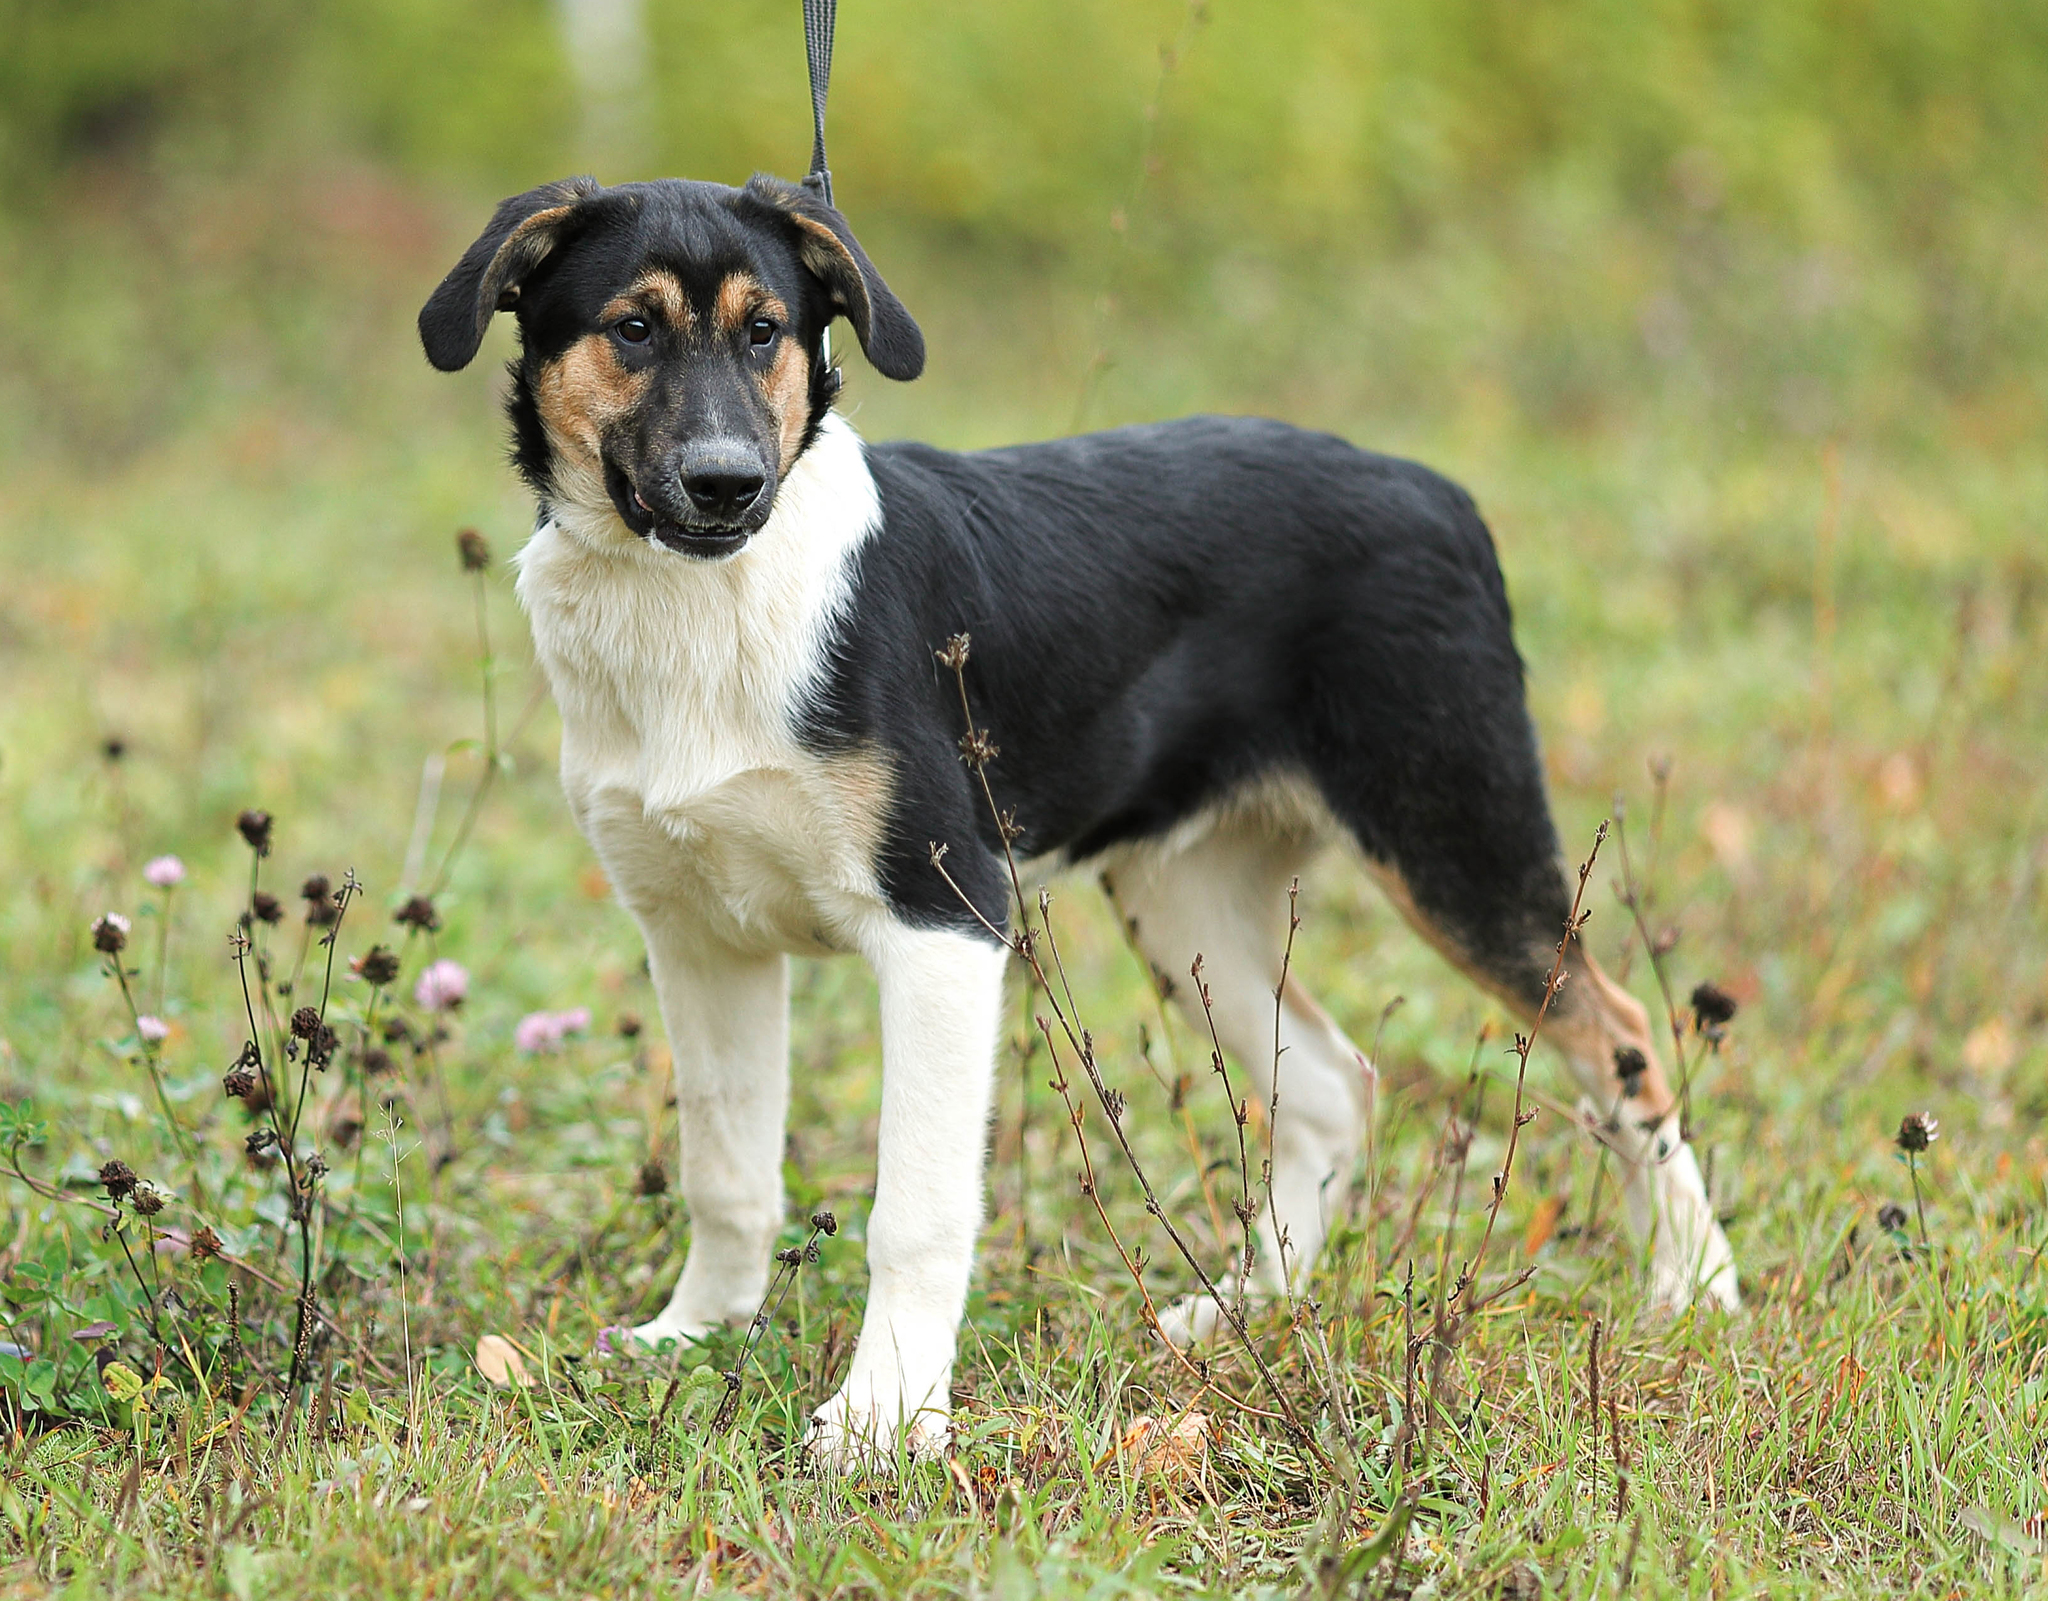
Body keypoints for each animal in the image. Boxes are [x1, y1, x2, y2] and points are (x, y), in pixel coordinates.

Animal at [423, 171, 1736, 1465]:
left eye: (766, 332)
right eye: (632, 329)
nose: (726, 482)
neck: (707, 601)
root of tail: (1434, 489)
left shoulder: (943, 919)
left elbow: (916, 1208)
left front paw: (885, 1416)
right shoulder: (700, 938)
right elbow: (727, 1169)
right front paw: (694, 1335)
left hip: (1452, 832)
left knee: (1619, 1036)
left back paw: (1690, 1290)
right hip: (1187, 903)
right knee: (1333, 1082)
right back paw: (1248, 1307)